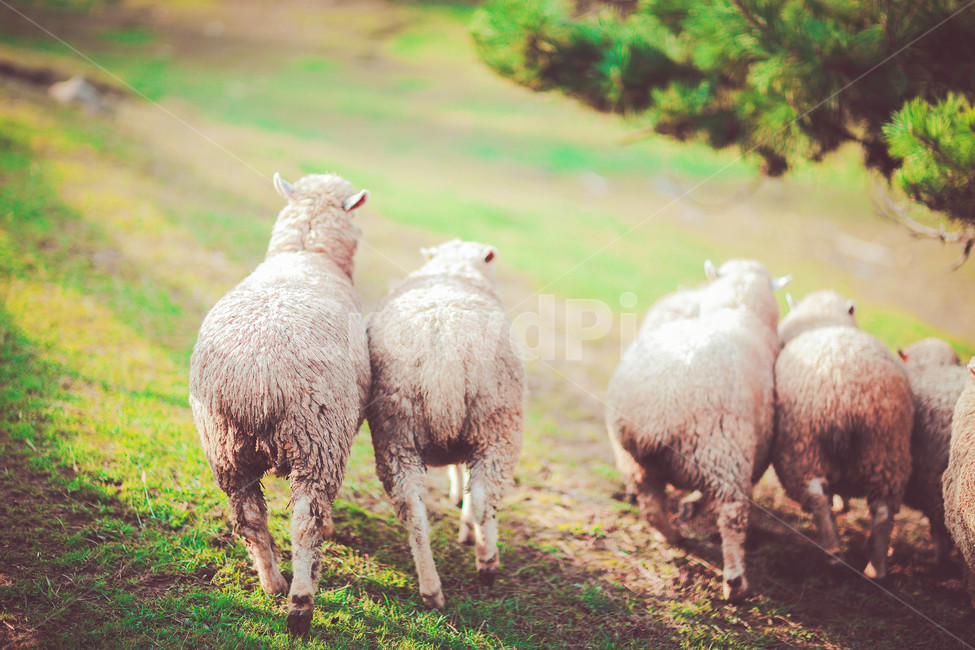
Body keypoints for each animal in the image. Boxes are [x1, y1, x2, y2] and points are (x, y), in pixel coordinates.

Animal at [188, 172, 370, 636]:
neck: (305, 250)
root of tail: (260, 379)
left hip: (225, 448)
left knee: (250, 518)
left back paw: (272, 584)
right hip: (318, 441)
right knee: (305, 521)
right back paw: (300, 605)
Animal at [365, 239, 525, 609]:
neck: (454, 269)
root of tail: (443, 355)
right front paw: (467, 529)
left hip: (396, 432)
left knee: (413, 509)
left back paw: (431, 590)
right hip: (497, 425)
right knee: (483, 496)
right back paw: (487, 562)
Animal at [605, 258, 791, 601]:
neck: (737, 307)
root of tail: (656, 415)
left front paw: (688, 508)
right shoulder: (756, 453)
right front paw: (692, 506)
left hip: (635, 461)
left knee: (651, 505)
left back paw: (673, 536)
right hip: (722, 452)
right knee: (732, 511)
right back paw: (735, 582)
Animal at [772, 290, 913, 580]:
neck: (824, 323)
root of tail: (848, 399)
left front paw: (840, 505)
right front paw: (843, 504)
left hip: (804, 450)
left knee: (816, 496)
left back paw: (834, 554)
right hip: (887, 454)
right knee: (883, 512)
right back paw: (875, 569)